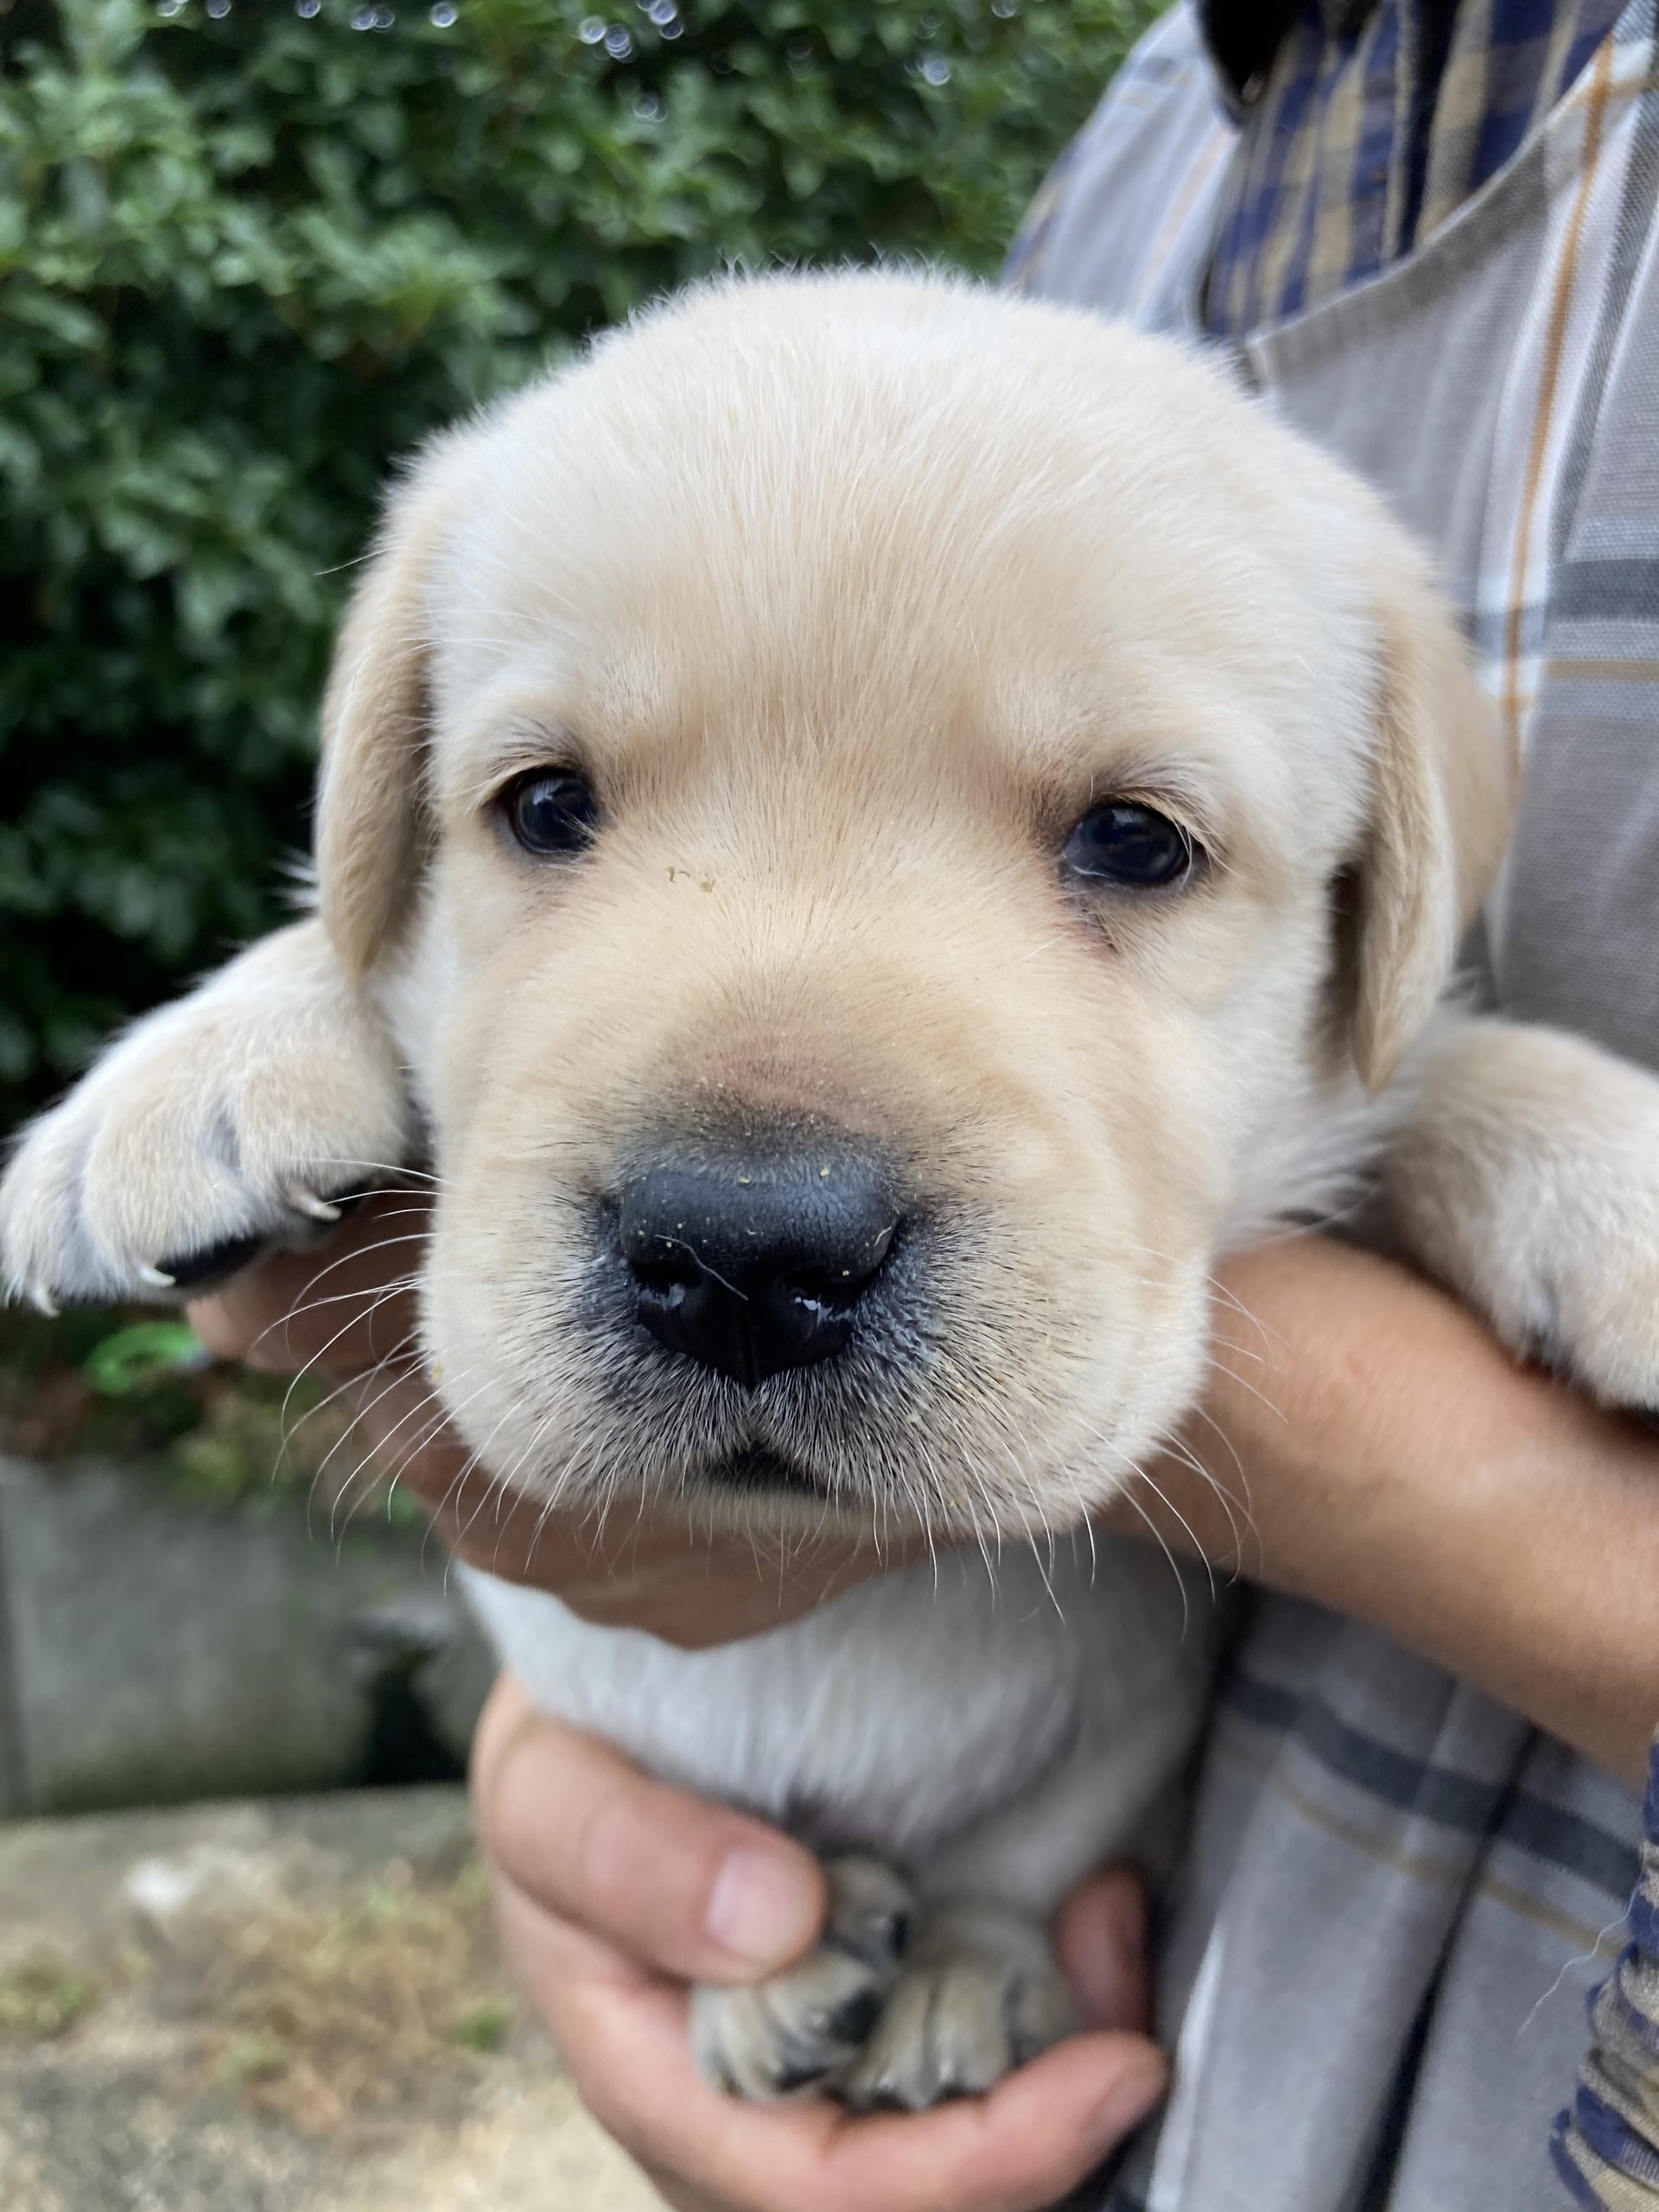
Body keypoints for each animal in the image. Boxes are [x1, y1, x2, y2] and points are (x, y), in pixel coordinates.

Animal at [3, 276, 1659, 2106]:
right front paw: (204, 1063)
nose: (746, 1254)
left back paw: (945, 1971)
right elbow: (352, 942)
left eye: (1138, 844)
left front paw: (1611, 1182)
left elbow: (1441, 1065)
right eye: (546, 806)